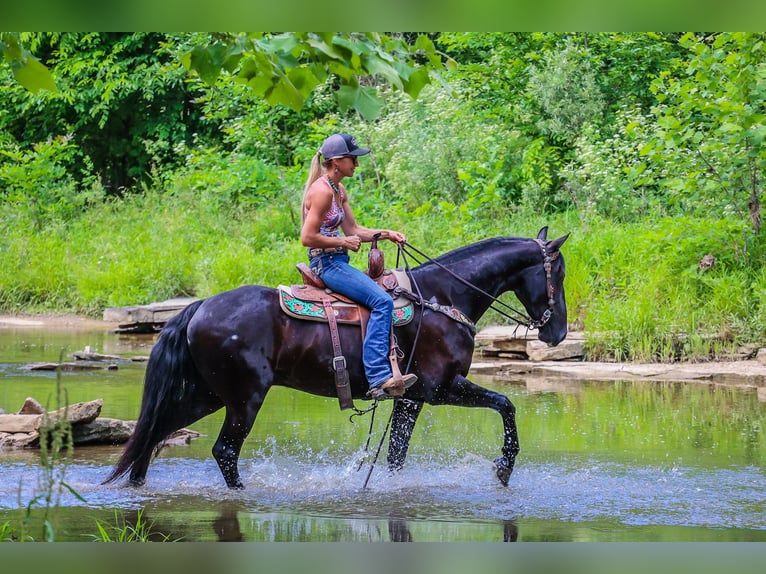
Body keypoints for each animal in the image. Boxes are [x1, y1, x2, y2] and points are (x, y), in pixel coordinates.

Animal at [105, 228, 568, 490]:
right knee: (224, 451)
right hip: (243, 399)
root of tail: (200, 306)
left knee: (157, 429)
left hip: (210, 394)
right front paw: (503, 467)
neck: (443, 297)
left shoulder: (411, 398)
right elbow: (506, 405)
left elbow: (396, 455)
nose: (557, 332)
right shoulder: (441, 389)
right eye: (559, 273)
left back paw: (137, 486)